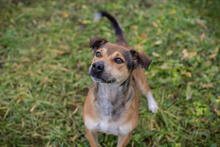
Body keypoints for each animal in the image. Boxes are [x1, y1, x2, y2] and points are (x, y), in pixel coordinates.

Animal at [83, 10, 158, 146]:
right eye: (98, 53)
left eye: (118, 60)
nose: (96, 66)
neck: (108, 94)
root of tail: (122, 44)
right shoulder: (90, 130)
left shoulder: (125, 135)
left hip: (141, 80)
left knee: (147, 91)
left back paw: (153, 105)